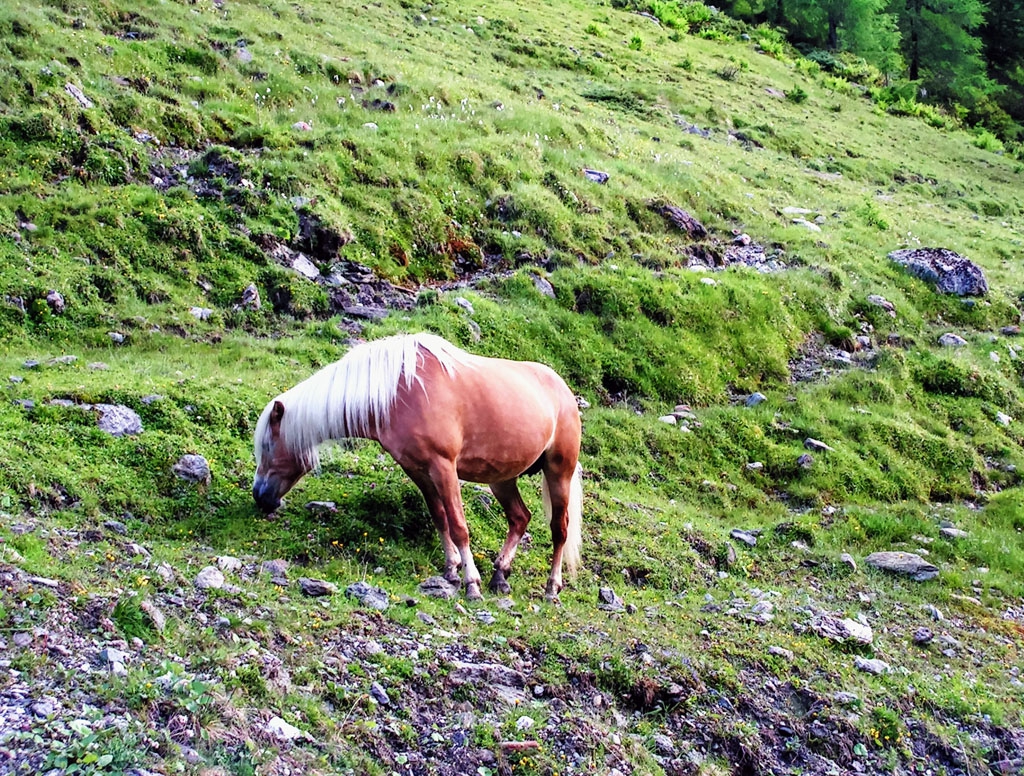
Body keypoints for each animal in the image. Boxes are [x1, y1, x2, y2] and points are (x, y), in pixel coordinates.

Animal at [249, 331, 585, 606]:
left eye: (267, 445)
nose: (260, 497)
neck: (398, 392)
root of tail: (563, 390)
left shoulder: (443, 466)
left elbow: (459, 526)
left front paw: (471, 584)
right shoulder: (418, 470)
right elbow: (440, 518)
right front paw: (451, 571)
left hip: (559, 471)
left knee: (560, 529)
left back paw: (551, 588)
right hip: (502, 477)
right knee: (519, 518)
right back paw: (500, 575)